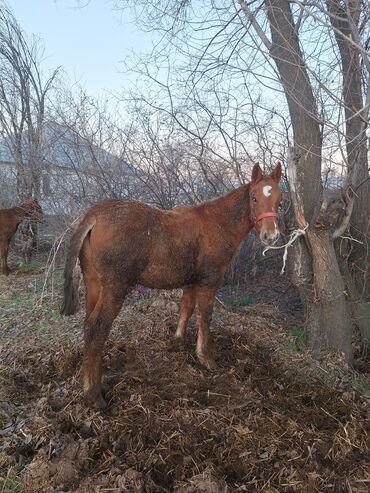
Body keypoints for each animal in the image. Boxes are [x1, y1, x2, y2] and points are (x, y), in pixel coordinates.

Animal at [60, 161, 282, 408]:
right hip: (115, 287)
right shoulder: (209, 280)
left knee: (88, 327)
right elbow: (205, 316)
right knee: (96, 328)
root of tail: (94, 215)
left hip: (94, 284)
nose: (271, 235)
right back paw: (93, 394)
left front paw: (178, 341)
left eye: (280, 200)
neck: (217, 223)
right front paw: (205, 357)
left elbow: (186, 308)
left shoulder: (191, 280)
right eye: (254, 198)